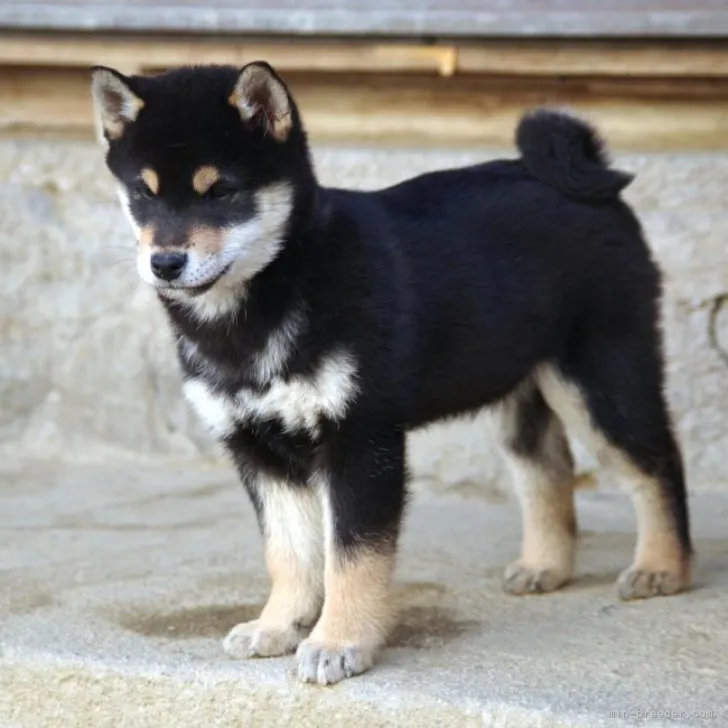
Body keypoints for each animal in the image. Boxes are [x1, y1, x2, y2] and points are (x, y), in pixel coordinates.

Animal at [88, 61, 692, 684]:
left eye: (222, 191)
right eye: (144, 193)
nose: (164, 262)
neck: (275, 293)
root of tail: (577, 177)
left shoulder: (361, 439)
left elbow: (352, 557)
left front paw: (339, 641)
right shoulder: (258, 447)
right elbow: (287, 553)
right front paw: (278, 625)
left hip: (601, 377)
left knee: (657, 463)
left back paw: (662, 567)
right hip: (521, 384)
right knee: (547, 468)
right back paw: (545, 565)